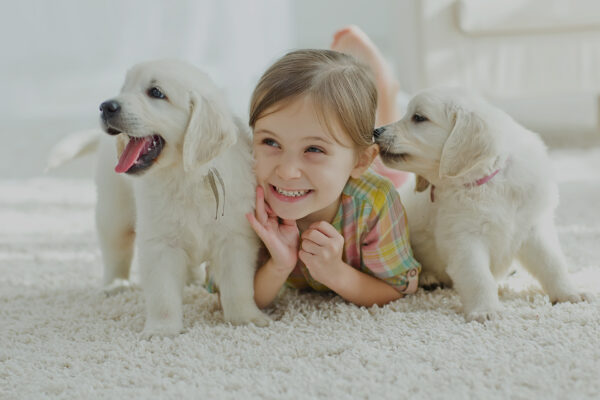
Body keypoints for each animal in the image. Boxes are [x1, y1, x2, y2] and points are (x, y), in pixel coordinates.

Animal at [92, 58, 270, 334]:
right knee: (115, 249)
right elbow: (163, 293)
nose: (105, 106)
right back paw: (115, 285)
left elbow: (238, 286)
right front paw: (162, 329)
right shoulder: (159, 242)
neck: (186, 176)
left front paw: (246, 318)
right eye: (124, 88)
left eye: (156, 92)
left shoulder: (235, 237)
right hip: (114, 210)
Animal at [376, 86, 592, 322]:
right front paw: (485, 310)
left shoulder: (532, 227)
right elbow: (478, 277)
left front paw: (569, 293)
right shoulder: (464, 238)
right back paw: (428, 278)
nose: (376, 131)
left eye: (418, 118)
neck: (487, 182)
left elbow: (552, 264)